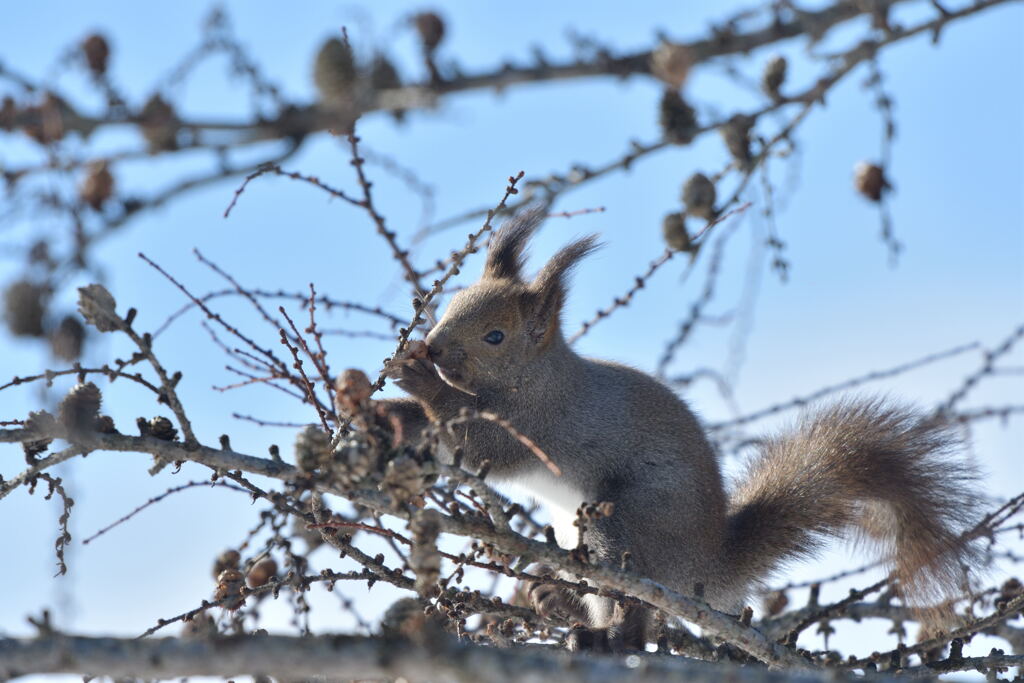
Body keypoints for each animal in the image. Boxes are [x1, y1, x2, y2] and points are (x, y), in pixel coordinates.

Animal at [382, 208, 983, 651]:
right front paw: (390, 418)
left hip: (624, 524)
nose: (433, 346)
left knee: (636, 608)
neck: (535, 375)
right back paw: (555, 598)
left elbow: (480, 444)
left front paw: (421, 384)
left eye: (496, 337)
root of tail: (702, 564)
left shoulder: (540, 421)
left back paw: (607, 637)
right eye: (453, 302)